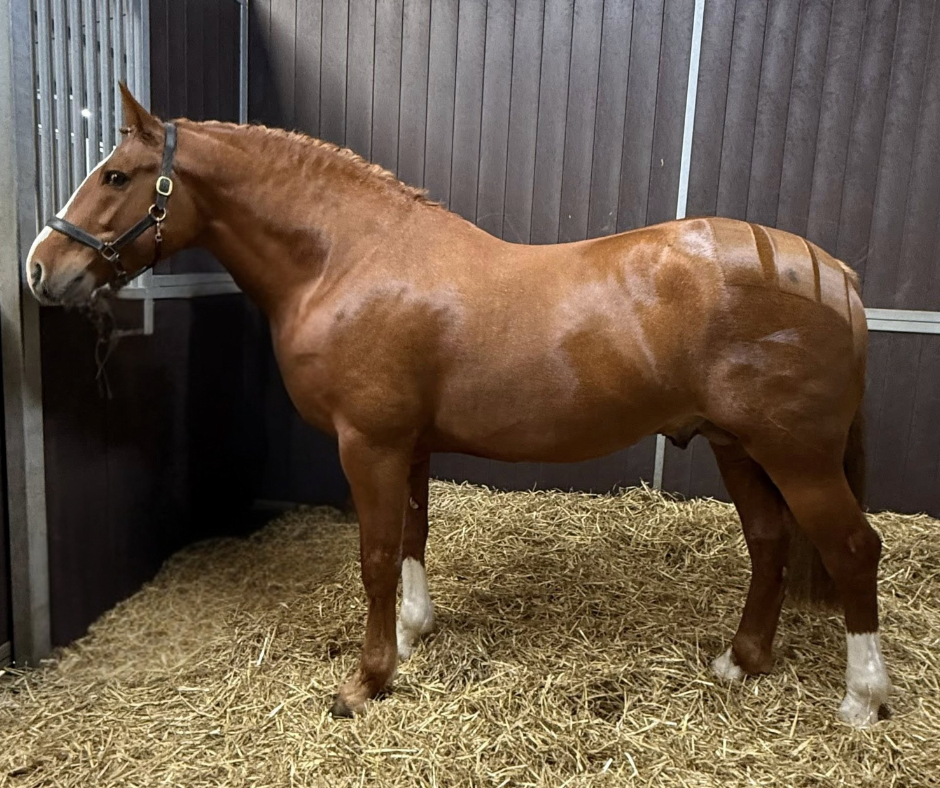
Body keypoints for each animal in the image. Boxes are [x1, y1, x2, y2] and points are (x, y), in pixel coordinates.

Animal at [27, 85, 890, 727]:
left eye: (114, 176)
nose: (40, 268)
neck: (349, 258)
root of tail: (835, 273)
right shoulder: (407, 444)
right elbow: (413, 535)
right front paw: (413, 634)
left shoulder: (368, 442)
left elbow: (376, 554)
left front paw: (367, 681)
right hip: (737, 446)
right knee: (771, 544)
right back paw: (742, 663)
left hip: (795, 456)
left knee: (851, 549)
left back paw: (862, 699)